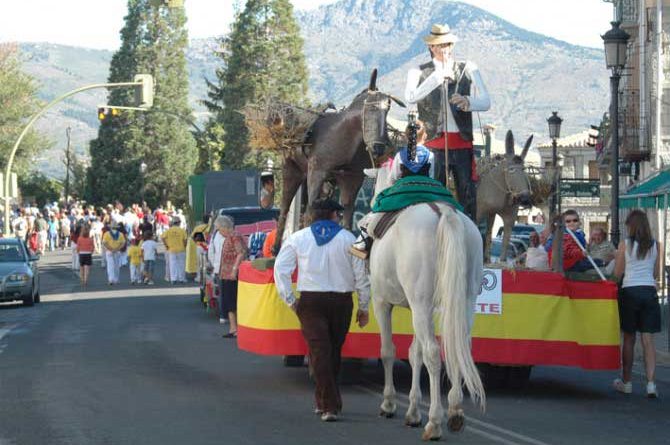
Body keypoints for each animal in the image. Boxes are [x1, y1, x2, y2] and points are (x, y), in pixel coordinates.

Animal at [364, 164, 486, 440]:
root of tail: (444, 213)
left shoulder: (383, 302)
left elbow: (389, 351)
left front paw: (389, 403)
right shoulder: (420, 307)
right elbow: (414, 354)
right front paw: (412, 411)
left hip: (419, 303)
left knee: (433, 353)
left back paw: (435, 421)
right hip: (464, 299)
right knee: (459, 344)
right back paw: (454, 410)